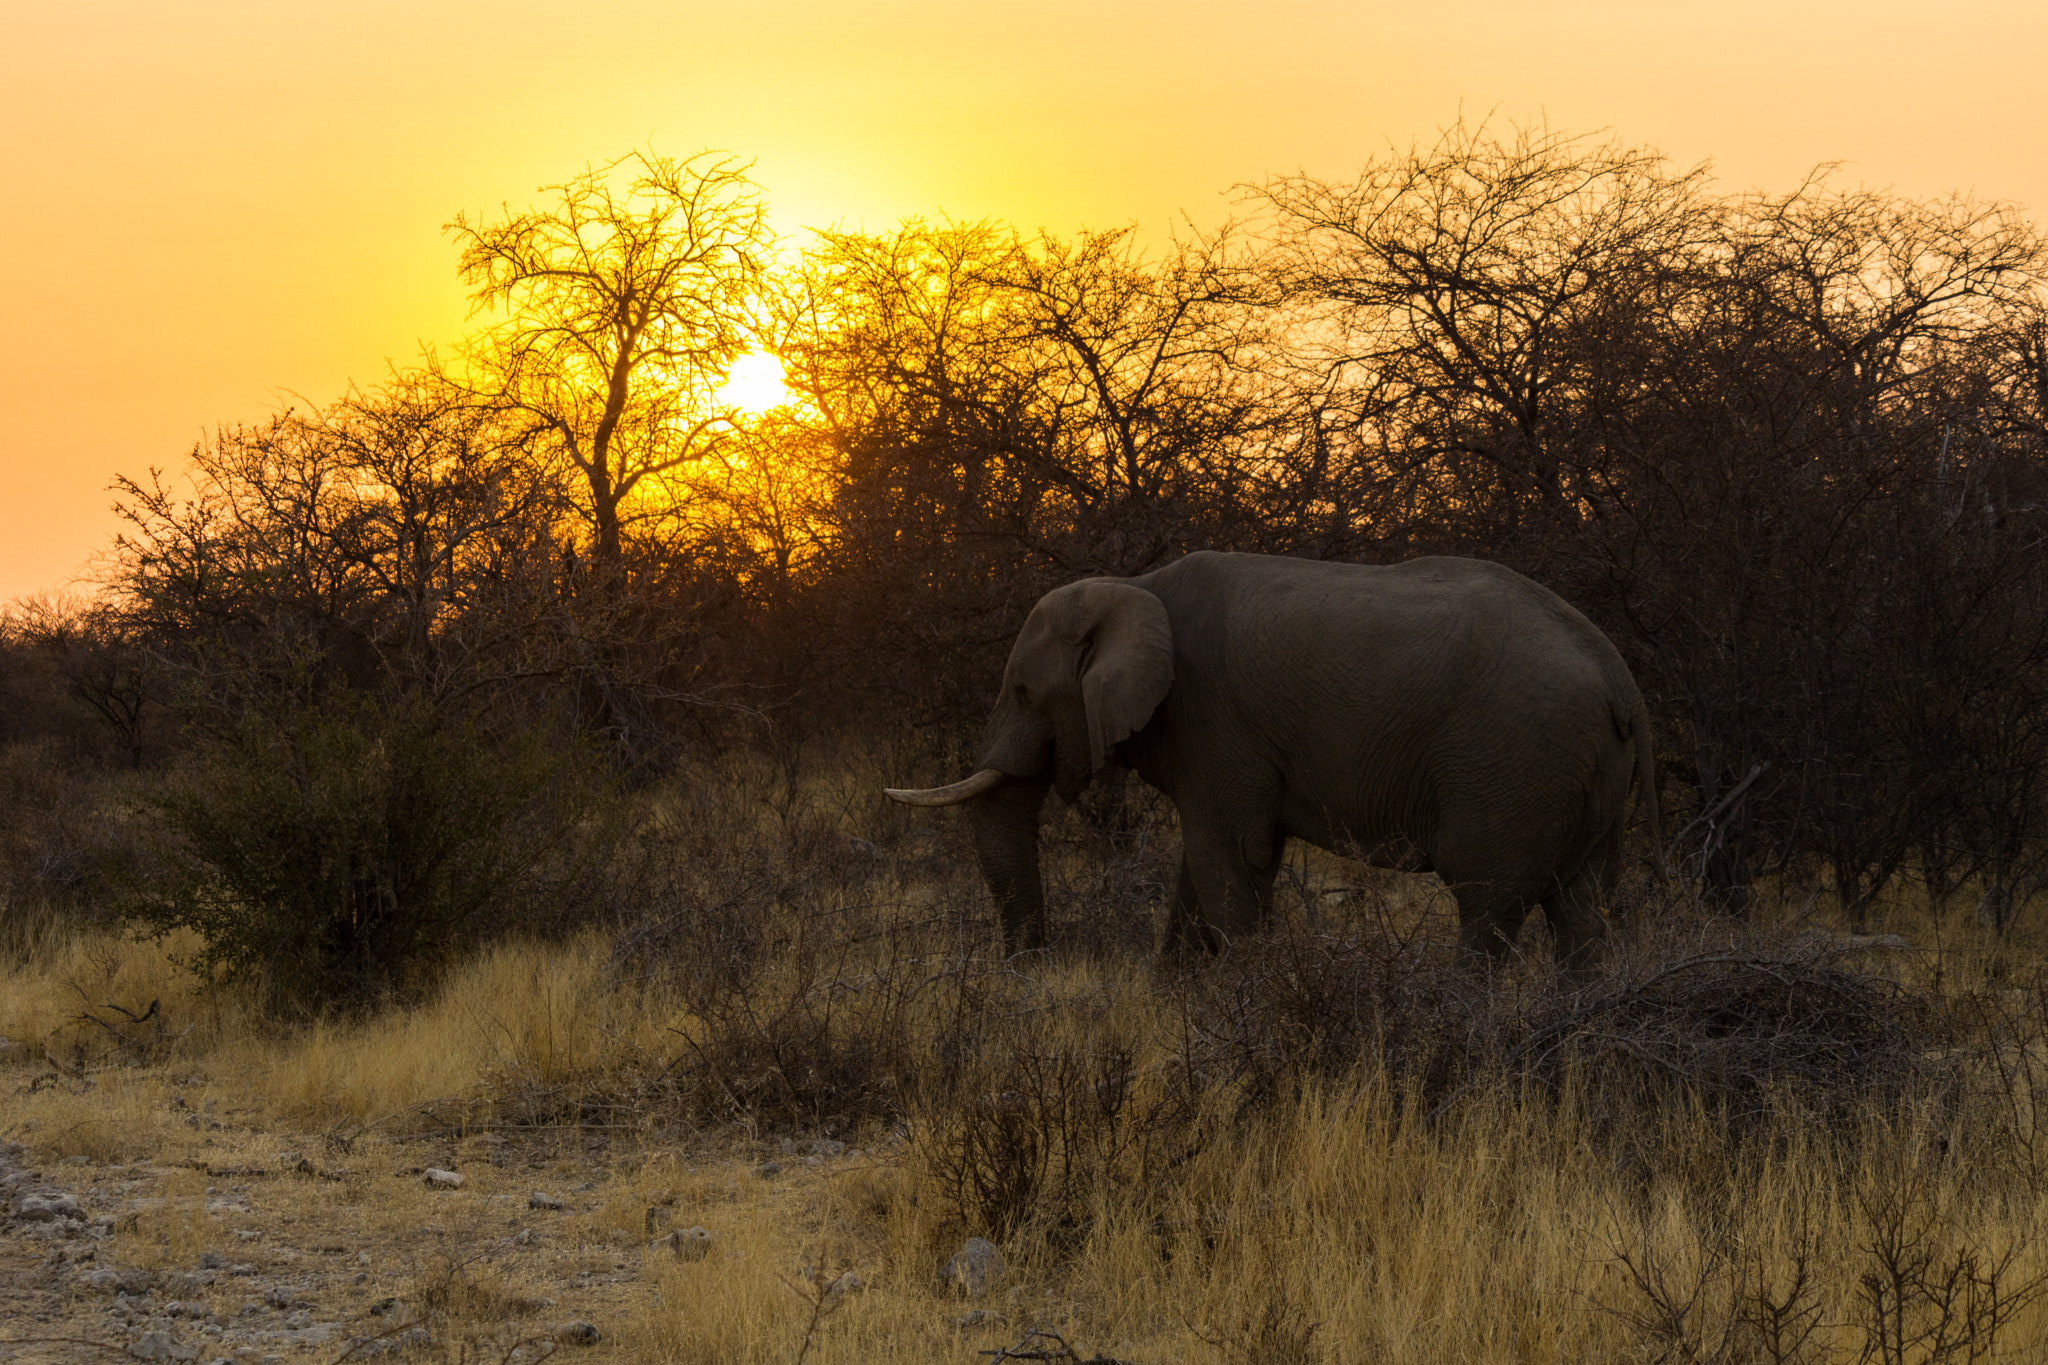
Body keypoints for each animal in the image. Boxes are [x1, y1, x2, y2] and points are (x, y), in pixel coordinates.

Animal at [888, 548, 1654, 965]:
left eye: (1022, 690)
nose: (1029, 969)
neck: (1135, 587)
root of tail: (1620, 684)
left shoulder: (1212, 717)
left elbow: (1229, 858)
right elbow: (1205, 867)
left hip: (1513, 761)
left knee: (1486, 905)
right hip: (1586, 781)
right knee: (1583, 909)